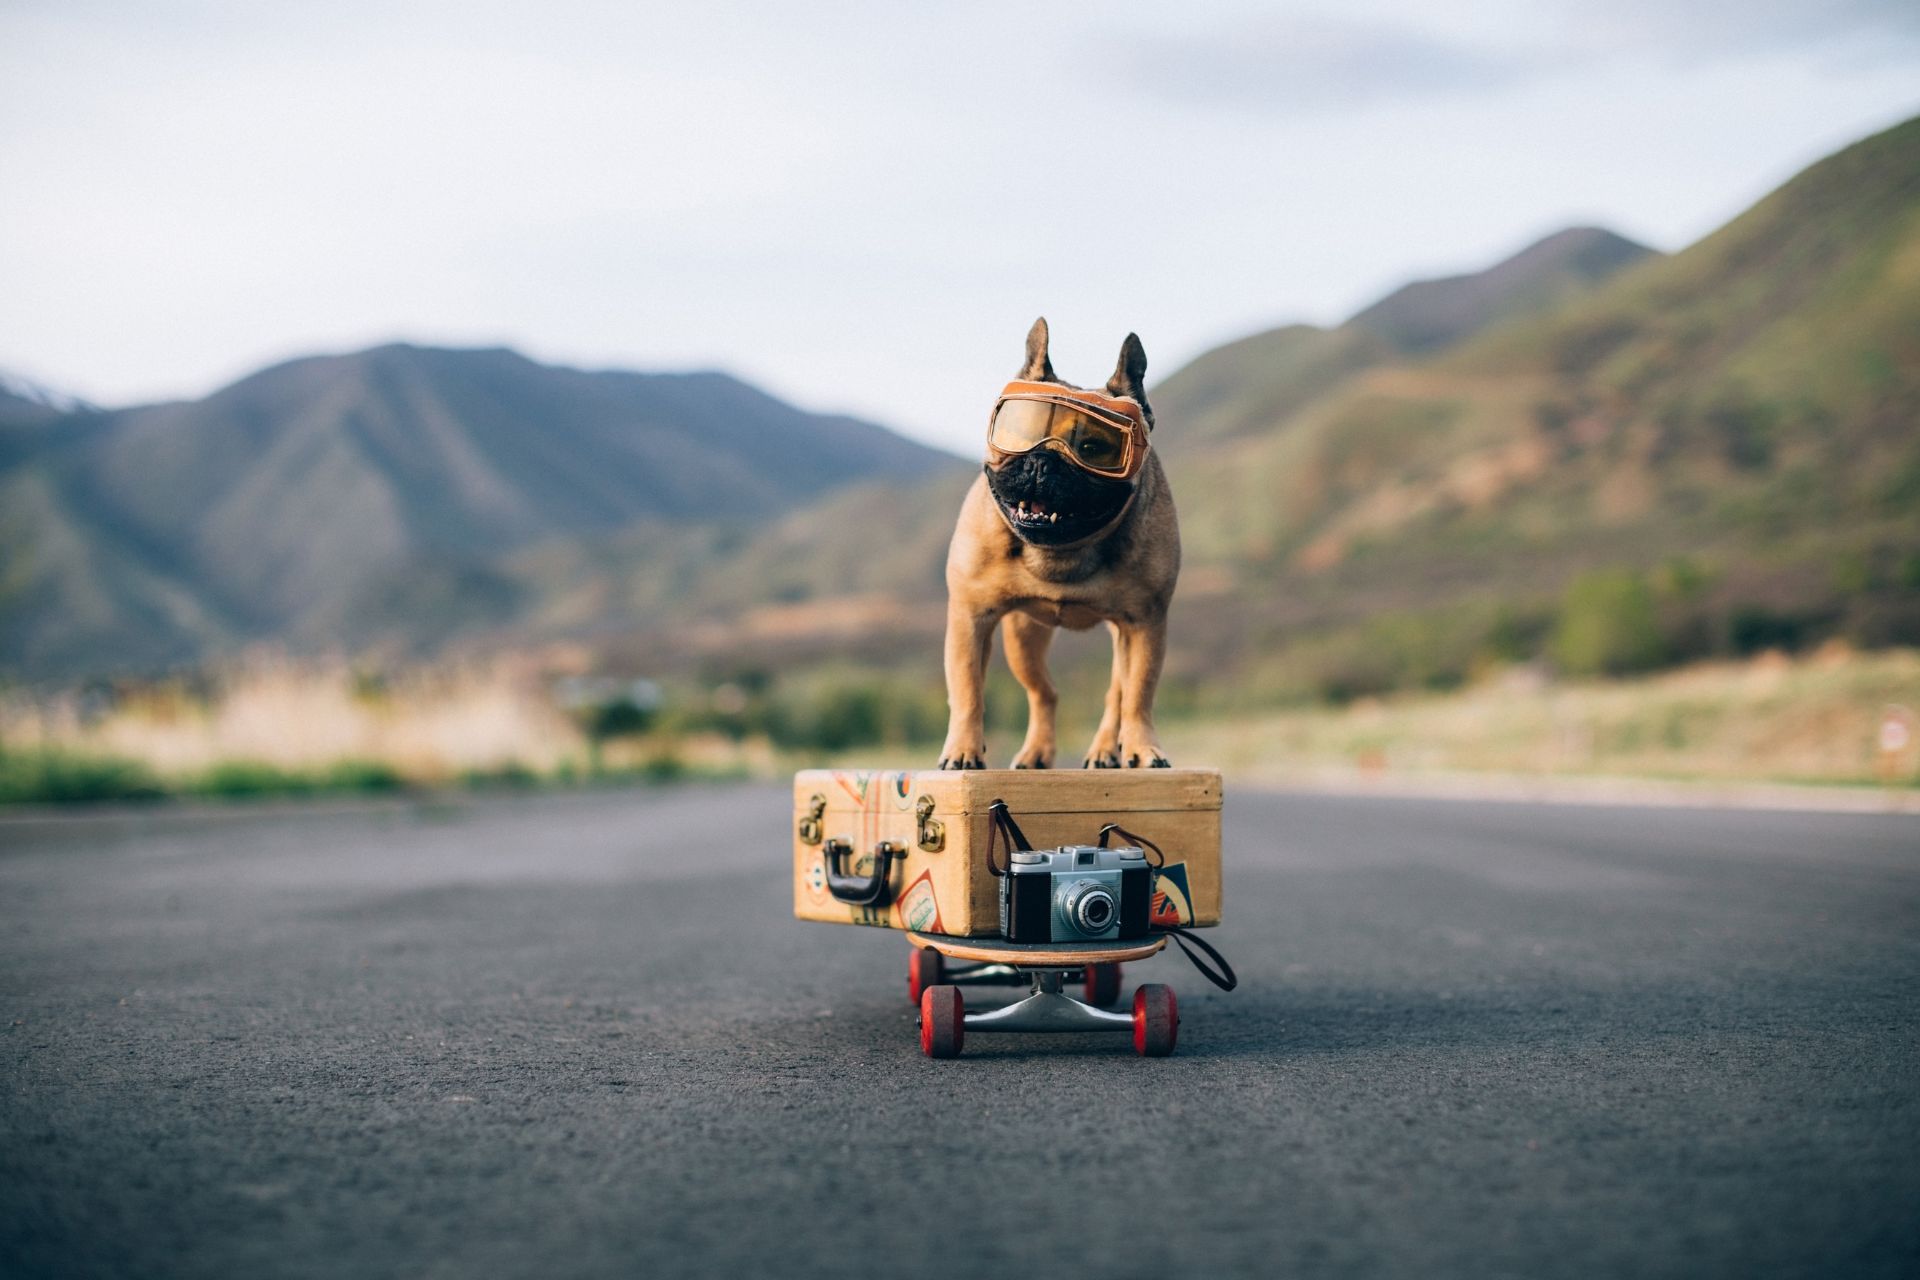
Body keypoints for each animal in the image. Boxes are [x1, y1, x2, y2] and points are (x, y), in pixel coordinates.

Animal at [936, 318, 1175, 771]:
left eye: (1093, 448)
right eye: (1019, 431)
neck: (1062, 551)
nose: (1042, 461)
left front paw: (1143, 748)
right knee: (1044, 692)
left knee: (1116, 694)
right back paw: (1036, 753)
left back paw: (1105, 750)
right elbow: (967, 691)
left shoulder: (1144, 625)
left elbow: (1139, 694)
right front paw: (962, 751)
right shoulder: (970, 618)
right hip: (1022, 637)